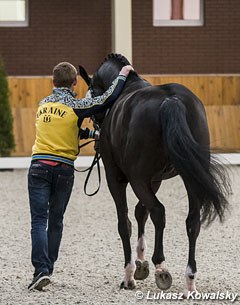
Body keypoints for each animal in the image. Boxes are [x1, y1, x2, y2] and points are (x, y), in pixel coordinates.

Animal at [79, 54, 231, 292]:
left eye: (92, 94)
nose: (95, 134)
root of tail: (171, 100)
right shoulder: (155, 179)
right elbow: (141, 212)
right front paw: (141, 263)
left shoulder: (118, 179)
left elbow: (125, 222)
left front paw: (130, 274)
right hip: (192, 176)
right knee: (191, 221)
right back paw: (189, 280)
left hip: (138, 179)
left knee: (159, 212)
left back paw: (161, 268)